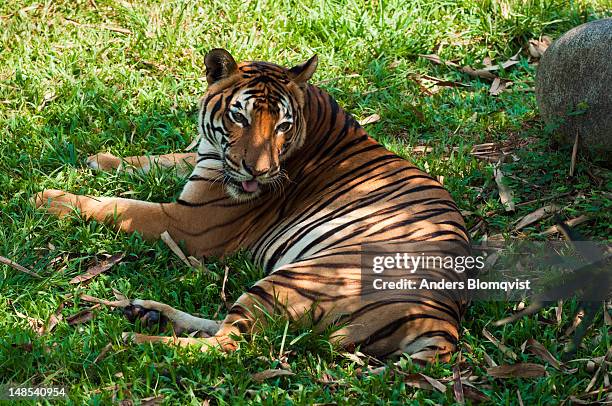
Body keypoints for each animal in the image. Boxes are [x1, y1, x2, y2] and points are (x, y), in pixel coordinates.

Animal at [34, 47, 468, 362]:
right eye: (239, 116)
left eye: (283, 126)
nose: (257, 172)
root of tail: (443, 322)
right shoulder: (207, 162)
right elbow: (160, 159)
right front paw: (100, 159)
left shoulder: (188, 221)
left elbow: (119, 206)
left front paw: (48, 198)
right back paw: (147, 312)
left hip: (294, 280)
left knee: (229, 345)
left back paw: (134, 339)